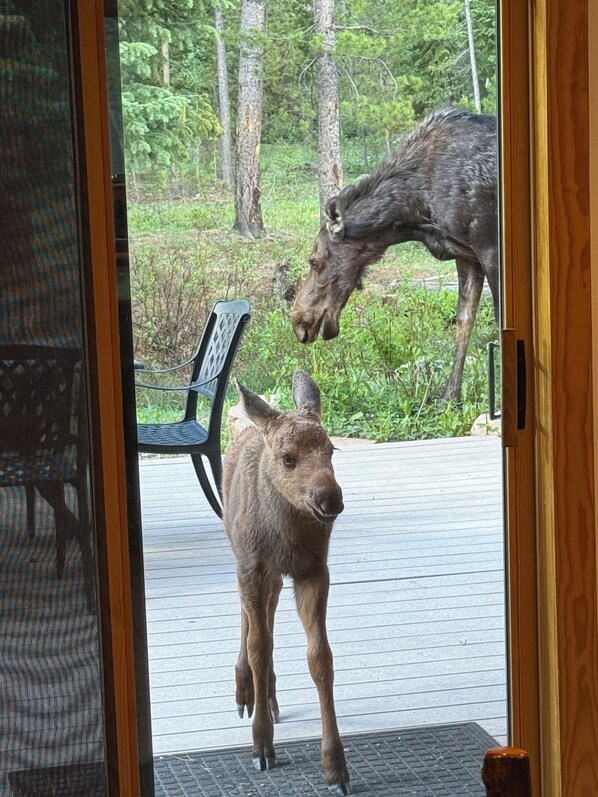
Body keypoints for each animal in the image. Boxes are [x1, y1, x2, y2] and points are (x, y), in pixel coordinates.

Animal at [222, 370, 351, 796]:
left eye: (331, 450)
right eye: (288, 458)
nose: (330, 499)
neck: (286, 536)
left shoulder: (313, 570)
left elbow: (320, 657)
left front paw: (335, 765)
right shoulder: (252, 565)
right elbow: (258, 645)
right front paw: (261, 745)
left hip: (275, 576)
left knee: (267, 612)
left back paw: (270, 697)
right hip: (242, 557)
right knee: (249, 619)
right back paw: (246, 692)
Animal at [291, 107, 499, 402]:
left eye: (314, 261)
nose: (299, 322)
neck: (415, 212)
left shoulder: (489, 248)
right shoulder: (467, 255)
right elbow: (464, 319)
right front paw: (450, 396)